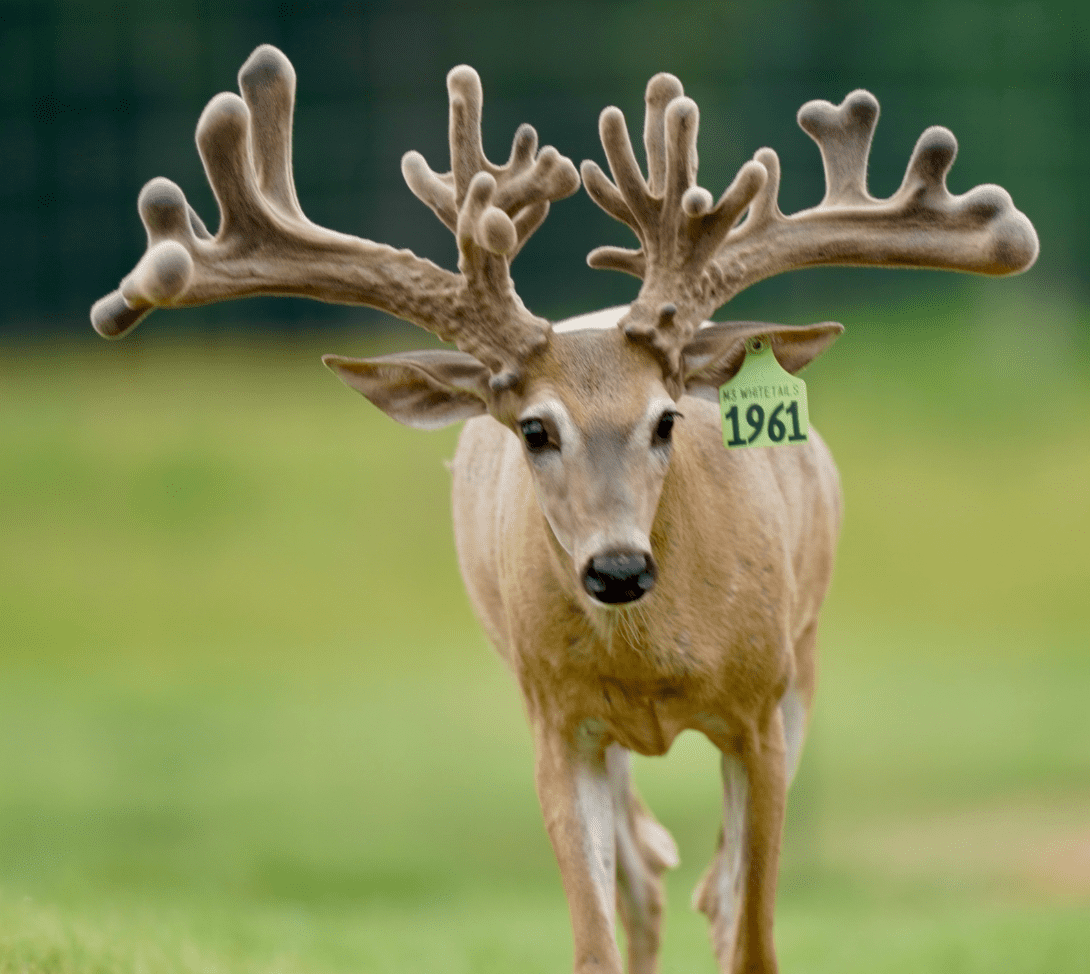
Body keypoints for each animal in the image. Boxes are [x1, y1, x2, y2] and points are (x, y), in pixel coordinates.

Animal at [91, 45, 1038, 974]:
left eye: (666, 418)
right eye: (535, 429)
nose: (617, 568)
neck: (655, 660)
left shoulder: (762, 711)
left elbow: (753, 937)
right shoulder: (555, 720)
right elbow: (595, 941)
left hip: (803, 654)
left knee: (712, 887)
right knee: (648, 877)